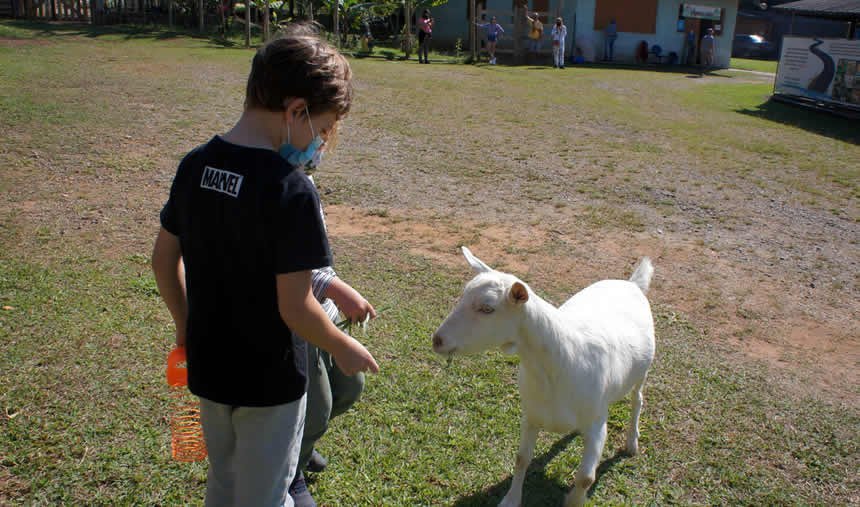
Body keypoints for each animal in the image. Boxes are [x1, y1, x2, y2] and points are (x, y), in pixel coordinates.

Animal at [434, 248, 656, 506]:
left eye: (487, 308)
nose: (437, 340)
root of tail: (632, 283)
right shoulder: (531, 414)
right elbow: (521, 458)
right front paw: (511, 500)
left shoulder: (597, 423)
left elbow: (585, 478)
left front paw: (572, 501)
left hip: (642, 371)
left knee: (637, 400)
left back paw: (632, 443)